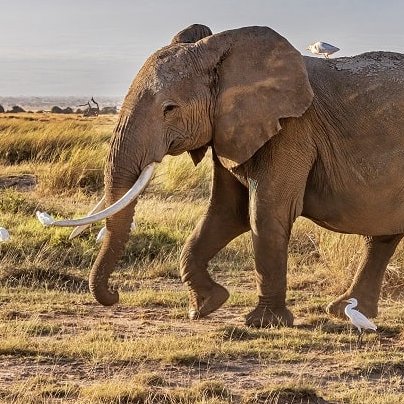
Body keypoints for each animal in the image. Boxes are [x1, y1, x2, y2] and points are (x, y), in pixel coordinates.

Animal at [51, 23, 404, 328]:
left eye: (169, 109)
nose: (114, 295)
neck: (224, 52)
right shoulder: (229, 131)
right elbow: (225, 213)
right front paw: (206, 306)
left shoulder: (292, 131)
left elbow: (265, 214)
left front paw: (264, 323)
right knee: (382, 236)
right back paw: (345, 311)